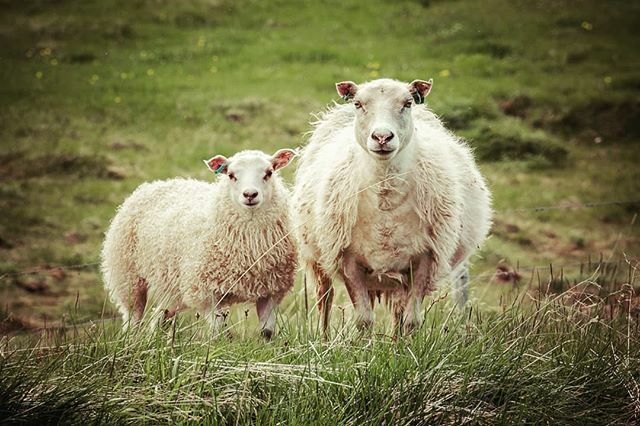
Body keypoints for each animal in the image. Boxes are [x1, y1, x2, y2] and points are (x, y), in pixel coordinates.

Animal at [101, 149, 298, 338]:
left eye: (269, 173)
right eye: (231, 175)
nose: (250, 194)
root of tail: (153, 185)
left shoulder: (271, 292)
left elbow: (267, 332)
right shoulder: (206, 292)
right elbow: (218, 333)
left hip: (174, 288)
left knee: (160, 316)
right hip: (128, 276)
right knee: (133, 316)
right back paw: (130, 340)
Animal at [293, 78, 492, 335]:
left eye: (407, 103)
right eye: (359, 104)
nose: (382, 137)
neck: (385, 193)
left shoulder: (425, 259)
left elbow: (411, 321)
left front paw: (405, 346)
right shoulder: (348, 258)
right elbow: (364, 320)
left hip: (398, 273)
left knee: (398, 312)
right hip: (318, 256)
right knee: (324, 299)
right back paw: (324, 337)